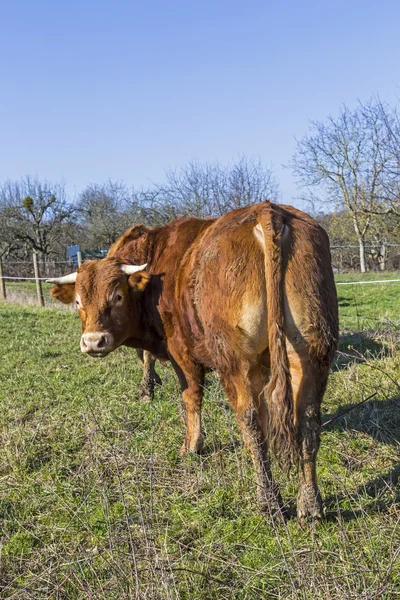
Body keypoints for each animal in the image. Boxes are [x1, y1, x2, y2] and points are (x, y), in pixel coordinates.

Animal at [48, 202, 340, 520]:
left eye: (117, 296)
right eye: (79, 301)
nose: (93, 341)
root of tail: (268, 210)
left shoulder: (180, 352)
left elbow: (191, 397)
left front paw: (191, 445)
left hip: (237, 361)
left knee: (251, 423)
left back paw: (268, 501)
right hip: (312, 354)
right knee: (307, 422)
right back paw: (310, 504)